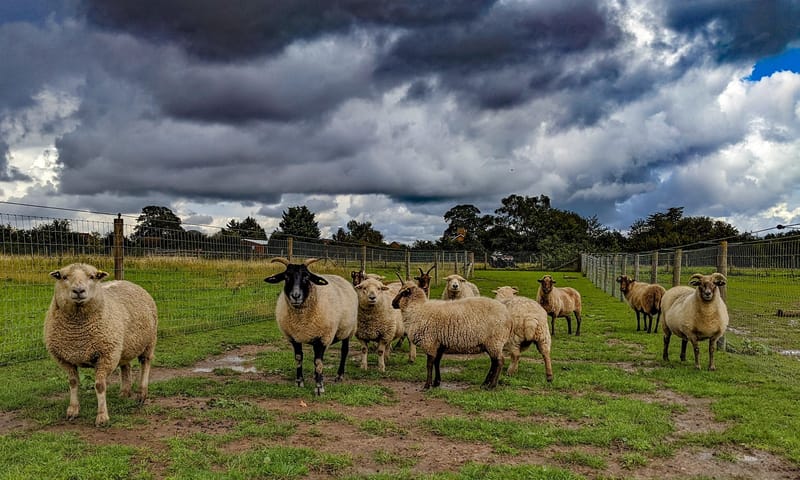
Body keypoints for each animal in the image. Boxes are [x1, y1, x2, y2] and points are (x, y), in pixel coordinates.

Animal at [43, 263, 158, 426]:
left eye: (92, 276)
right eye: (64, 277)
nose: (79, 291)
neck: (77, 331)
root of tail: (126, 281)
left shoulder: (106, 356)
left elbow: (99, 386)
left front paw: (102, 416)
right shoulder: (64, 358)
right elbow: (73, 382)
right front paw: (73, 410)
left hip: (149, 342)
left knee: (145, 363)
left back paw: (142, 394)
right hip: (122, 346)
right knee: (126, 366)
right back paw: (124, 392)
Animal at [265, 257, 358, 395]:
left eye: (307, 277)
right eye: (286, 277)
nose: (296, 296)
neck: (301, 321)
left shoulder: (323, 338)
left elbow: (318, 362)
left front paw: (319, 387)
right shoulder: (294, 338)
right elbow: (299, 358)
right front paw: (299, 382)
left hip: (347, 330)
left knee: (344, 351)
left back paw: (339, 375)